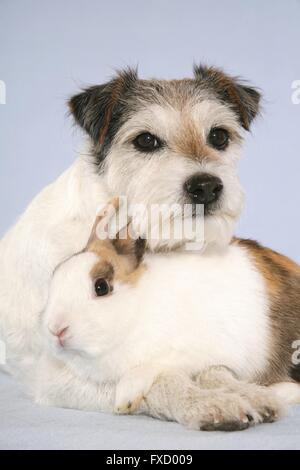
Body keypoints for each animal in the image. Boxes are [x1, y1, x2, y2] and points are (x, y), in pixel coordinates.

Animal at [31, 196, 300, 432]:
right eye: (55, 274)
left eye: (101, 287)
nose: (56, 329)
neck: (139, 312)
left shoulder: (198, 351)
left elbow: (158, 366)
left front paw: (126, 395)